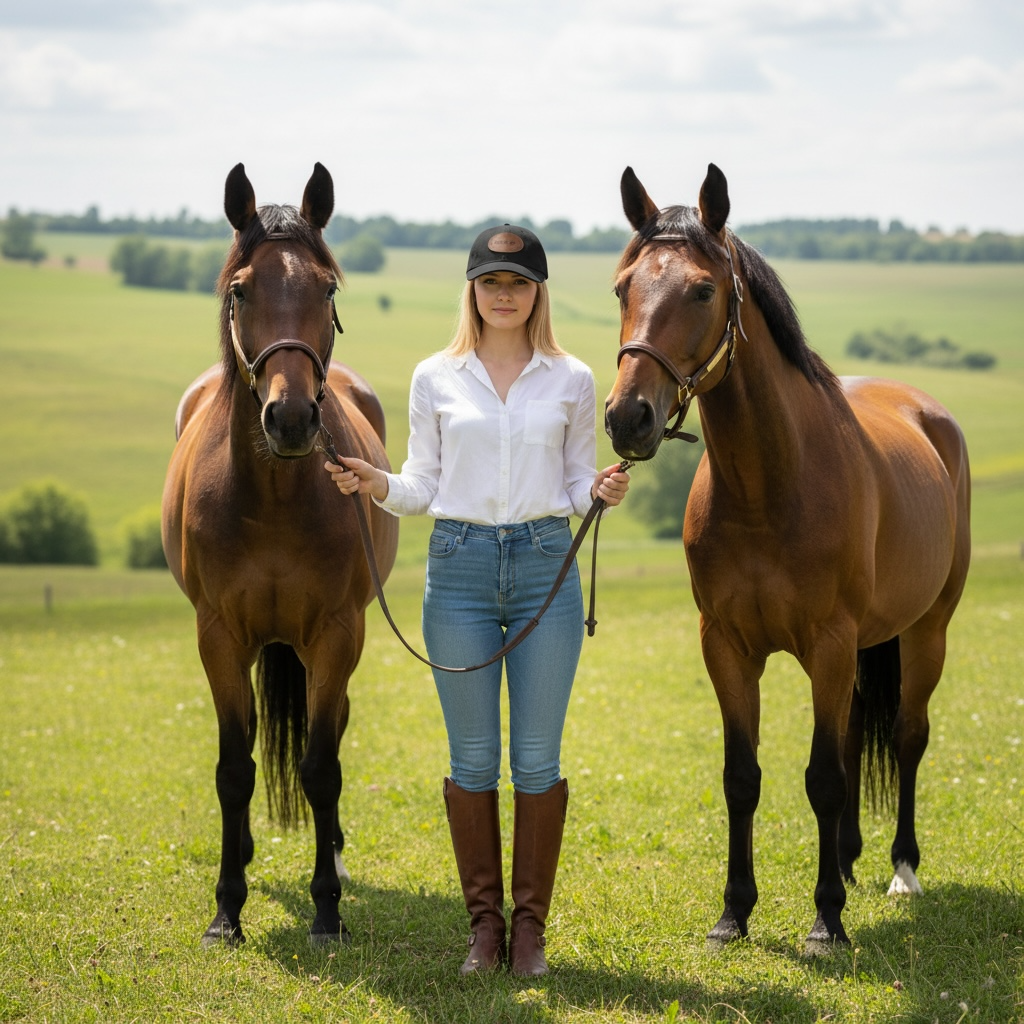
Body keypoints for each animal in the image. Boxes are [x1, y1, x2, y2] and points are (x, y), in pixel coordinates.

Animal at [161, 162, 398, 946]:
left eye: (326, 289)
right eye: (241, 290)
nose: (291, 418)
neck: (269, 498)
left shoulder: (336, 633)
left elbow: (320, 766)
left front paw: (327, 908)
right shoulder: (219, 636)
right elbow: (234, 768)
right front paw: (225, 909)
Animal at [604, 163, 971, 953]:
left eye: (702, 290)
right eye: (623, 288)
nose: (627, 417)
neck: (769, 487)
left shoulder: (828, 644)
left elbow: (823, 778)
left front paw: (825, 921)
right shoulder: (727, 646)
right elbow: (743, 776)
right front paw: (733, 913)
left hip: (926, 632)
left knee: (906, 736)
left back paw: (901, 869)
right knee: (856, 734)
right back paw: (852, 859)